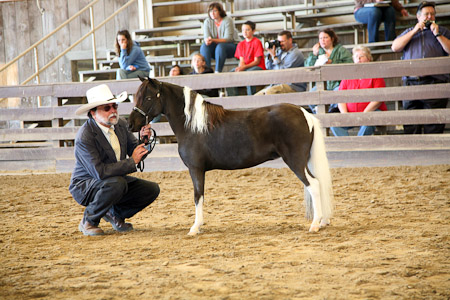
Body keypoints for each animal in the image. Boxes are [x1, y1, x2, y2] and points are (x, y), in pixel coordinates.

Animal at [128, 77, 332, 234]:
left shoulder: (196, 169)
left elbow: (198, 195)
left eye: (148, 97)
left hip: (296, 161)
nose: (131, 124)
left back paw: (315, 224)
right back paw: (322, 221)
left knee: (314, 185)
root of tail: (304, 114)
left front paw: (195, 227)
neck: (193, 124)